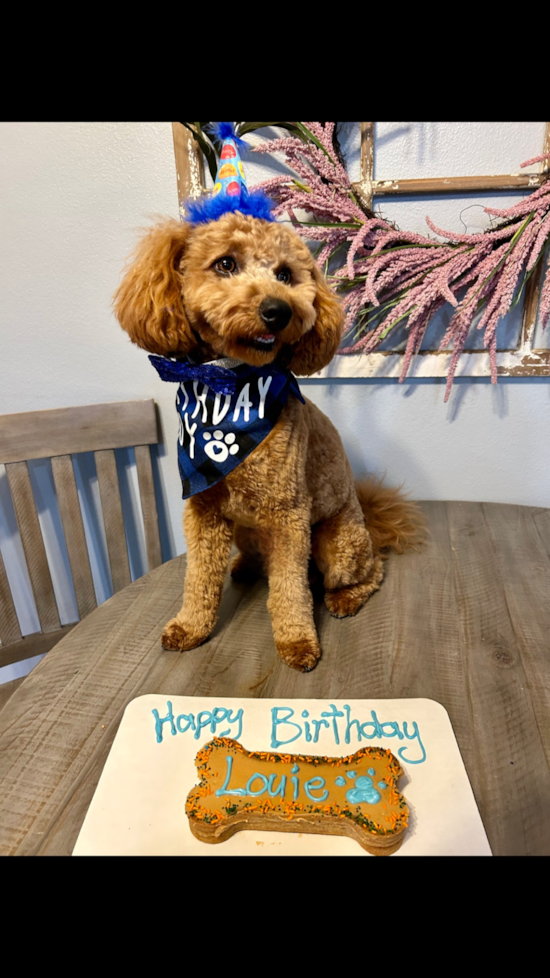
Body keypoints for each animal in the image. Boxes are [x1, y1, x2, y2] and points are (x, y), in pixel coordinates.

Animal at [114, 211, 420, 672]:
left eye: (285, 274)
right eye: (225, 264)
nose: (278, 309)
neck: (229, 387)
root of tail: (365, 516)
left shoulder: (288, 514)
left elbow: (290, 589)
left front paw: (297, 641)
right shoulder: (203, 510)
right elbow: (199, 578)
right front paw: (190, 627)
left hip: (338, 544)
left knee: (370, 571)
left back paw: (345, 598)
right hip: (247, 530)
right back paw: (244, 566)